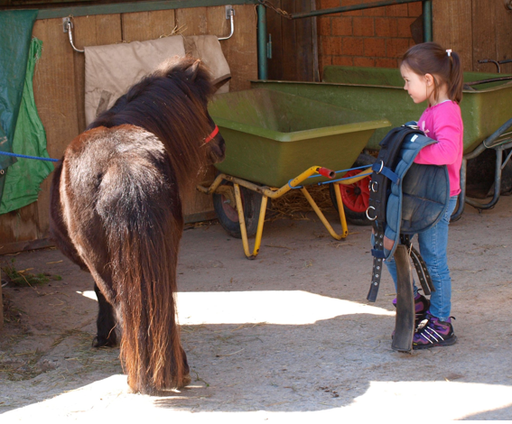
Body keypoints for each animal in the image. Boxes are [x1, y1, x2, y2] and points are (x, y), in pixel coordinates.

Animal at [50, 56, 226, 394]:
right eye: (204, 106)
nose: (222, 144)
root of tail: (122, 163)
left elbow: (101, 297)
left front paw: (103, 337)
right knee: (157, 304)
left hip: (101, 260)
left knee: (120, 301)